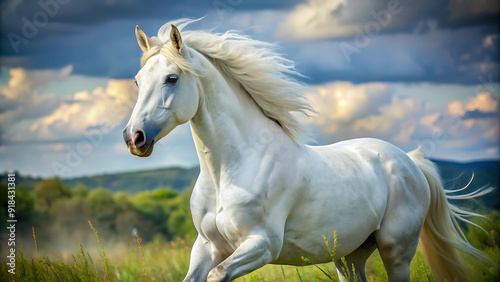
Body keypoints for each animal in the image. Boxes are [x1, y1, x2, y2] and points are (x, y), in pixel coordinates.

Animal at [122, 18, 492, 280]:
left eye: (172, 78)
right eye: (138, 81)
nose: (133, 138)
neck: (228, 172)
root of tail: (410, 162)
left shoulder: (262, 245)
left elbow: (219, 275)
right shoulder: (207, 247)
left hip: (396, 250)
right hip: (351, 254)